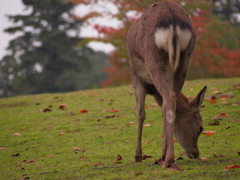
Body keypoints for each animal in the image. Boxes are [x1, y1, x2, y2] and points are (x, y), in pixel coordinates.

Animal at [126, 0, 207, 169]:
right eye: (201, 127)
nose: (196, 154)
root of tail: (173, 23)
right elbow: (161, 109)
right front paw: (160, 154)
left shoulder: (136, 77)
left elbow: (140, 113)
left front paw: (137, 155)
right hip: (185, 59)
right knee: (171, 100)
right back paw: (167, 157)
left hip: (154, 59)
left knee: (169, 98)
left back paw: (169, 159)